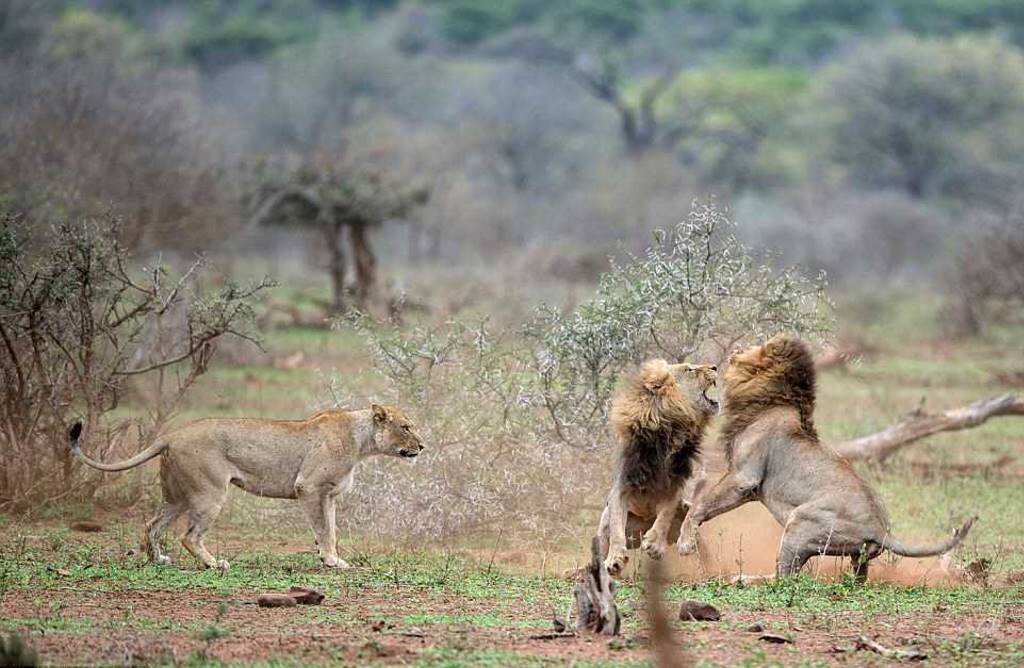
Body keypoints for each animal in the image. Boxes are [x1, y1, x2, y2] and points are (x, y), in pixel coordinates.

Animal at [68, 401, 421, 569]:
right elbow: (323, 530)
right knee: (189, 536)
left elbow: (331, 530)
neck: (361, 442)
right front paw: (331, 561)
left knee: (151, 526)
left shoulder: (329, 495)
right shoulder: (309, 488)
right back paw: (214, 564)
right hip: (210, 494)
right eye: (406, 427)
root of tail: (173, 433)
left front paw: (333, 558)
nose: (422, 446)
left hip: (176, 496)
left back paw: (159, 560)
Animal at [598, 356, 720, 577]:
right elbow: (616, 529)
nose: (715, 367)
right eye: (689, 370)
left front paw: (655, 545)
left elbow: (665, 515)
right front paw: (615, 559)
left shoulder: (675, 484)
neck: (669, 430)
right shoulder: (622, 487)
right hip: (610, 526)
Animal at [679, 333, 974, 577]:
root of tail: (880, 530)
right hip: (854, 556)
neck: (772, 398)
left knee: (786, 579)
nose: (735, 349)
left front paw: (685, 543)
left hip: (799, 523)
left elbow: (700, 505)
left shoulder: (744, 477)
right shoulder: (750, 488)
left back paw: (743, 579)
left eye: (758, 345)